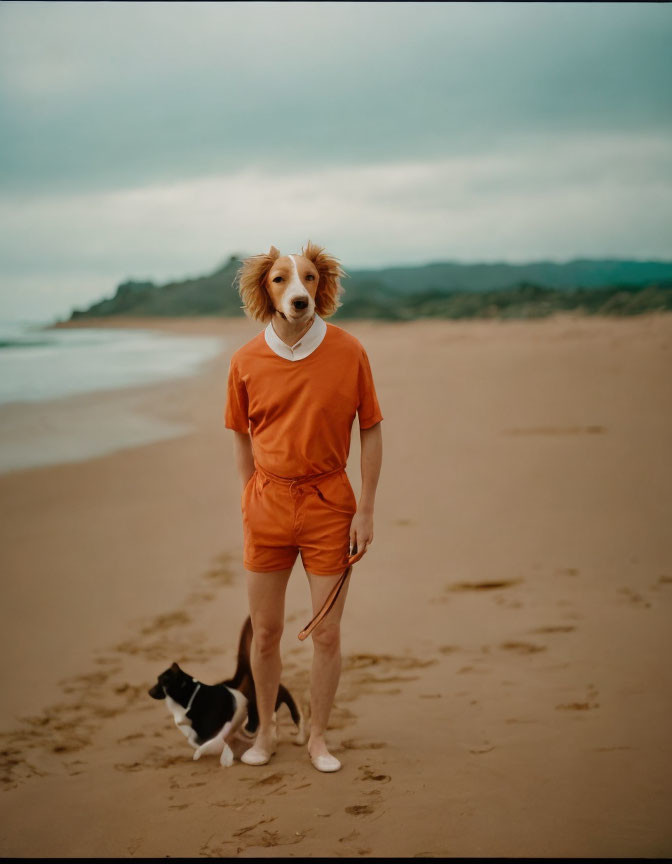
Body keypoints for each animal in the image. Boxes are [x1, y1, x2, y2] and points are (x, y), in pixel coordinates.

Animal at [148, 616, 306, 768]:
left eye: (161, 682)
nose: (149, 692)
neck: (191, 696)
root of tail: (249, 674)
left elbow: (204, 742)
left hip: (281, 701)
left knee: (295, 714)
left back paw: (298, 736)